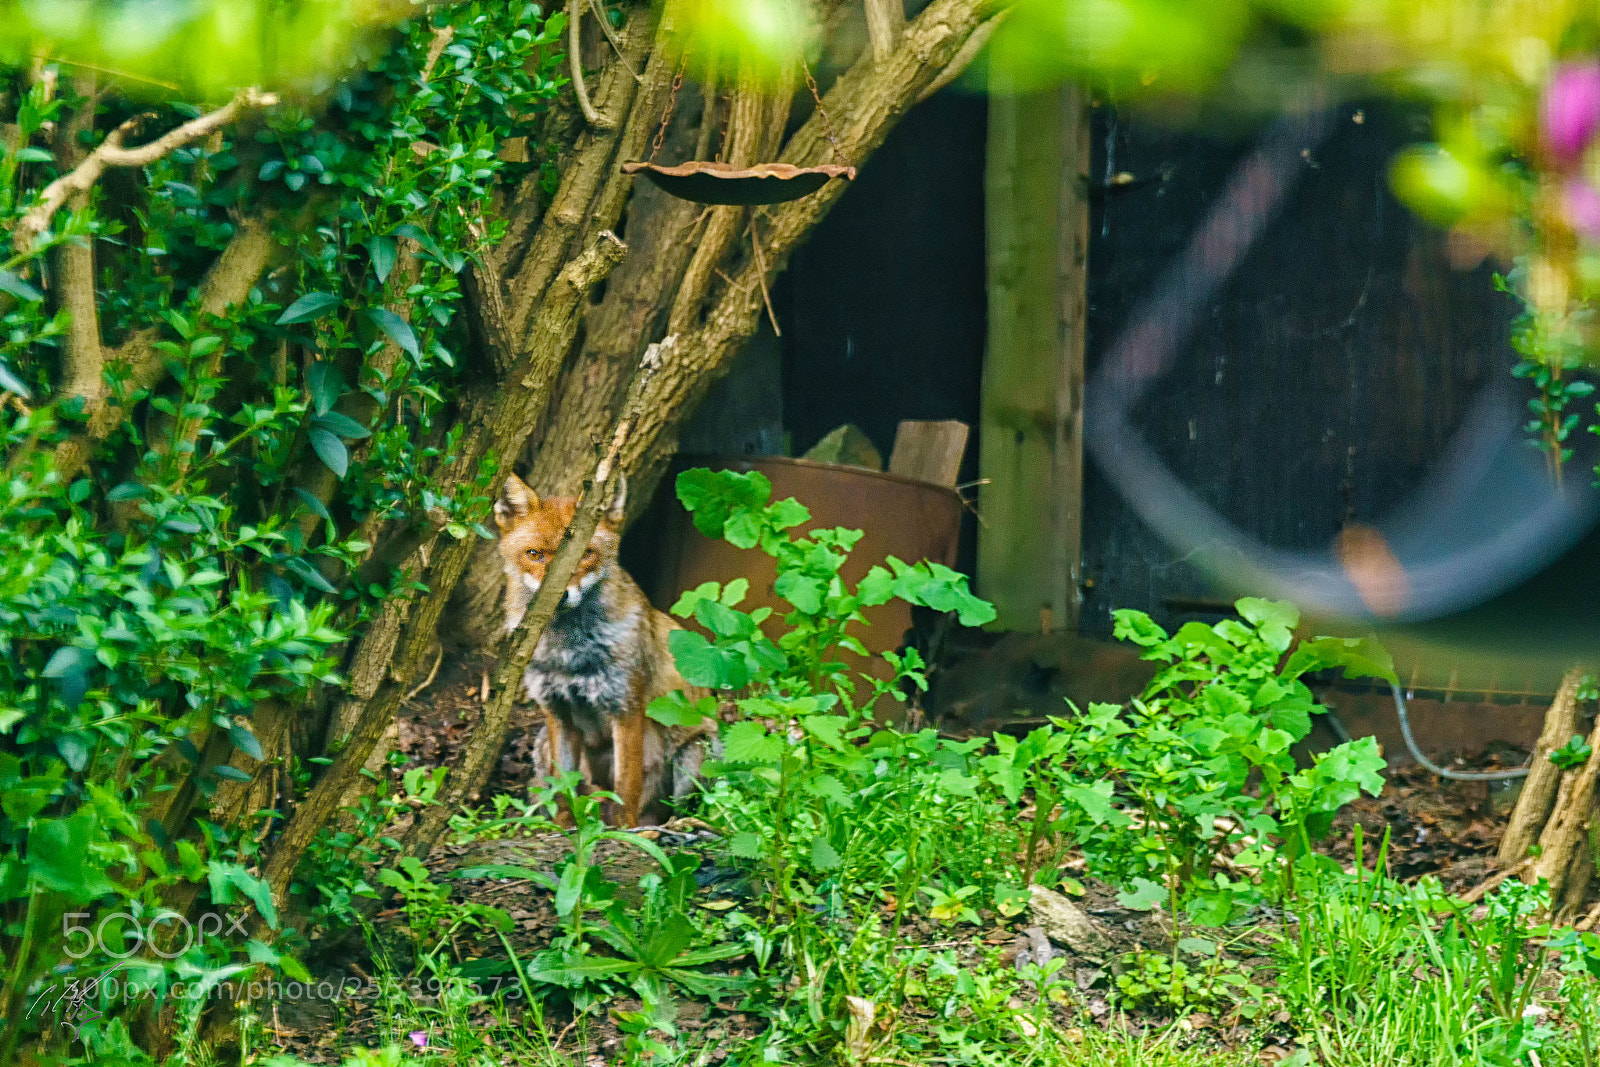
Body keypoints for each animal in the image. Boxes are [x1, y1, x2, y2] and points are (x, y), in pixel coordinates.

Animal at [494, 471, 717, 828]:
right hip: (541, 744)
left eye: (585, 553)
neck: (568, 652)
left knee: (674, 810)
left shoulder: (625, 709)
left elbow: (626, 789)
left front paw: (622, 832)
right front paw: (565, 828)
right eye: (534, 554)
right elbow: (563, 789)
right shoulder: (557, 712)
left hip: (696, 754)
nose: (560, 595)